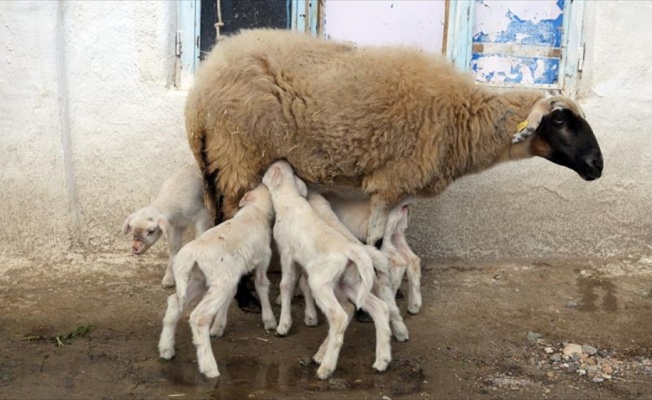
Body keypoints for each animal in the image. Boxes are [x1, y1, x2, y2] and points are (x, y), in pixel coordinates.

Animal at [158, 184, 276, 378]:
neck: (254, 211)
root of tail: (190, 255)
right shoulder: (263, 258)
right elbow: (262, 285)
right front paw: (270, 321)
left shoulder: (234, 272)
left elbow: (232, 294)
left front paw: (218, 326)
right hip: (217, 279)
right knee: (199, 317)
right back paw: (209, 367)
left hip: (201, 278)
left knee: (175, 301)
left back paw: (166, 349)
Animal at [183, 28, 600, 248]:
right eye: (560, 119)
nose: (597, 165)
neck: (463, 119)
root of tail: (202, 87)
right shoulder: (391, 182)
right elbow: (377, 240)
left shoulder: (397, 188)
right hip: (237, 153)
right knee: (229, 219)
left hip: (220, 159)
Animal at [262, 159, 392, 378]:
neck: (290, 201)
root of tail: (352, 251)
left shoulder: (287, 254)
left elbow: (286, 285)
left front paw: (283, 326)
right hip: (349, 282)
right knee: (378, 308)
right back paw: (381, 360)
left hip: (322, 282)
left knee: (339, 316)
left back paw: (326, 367)